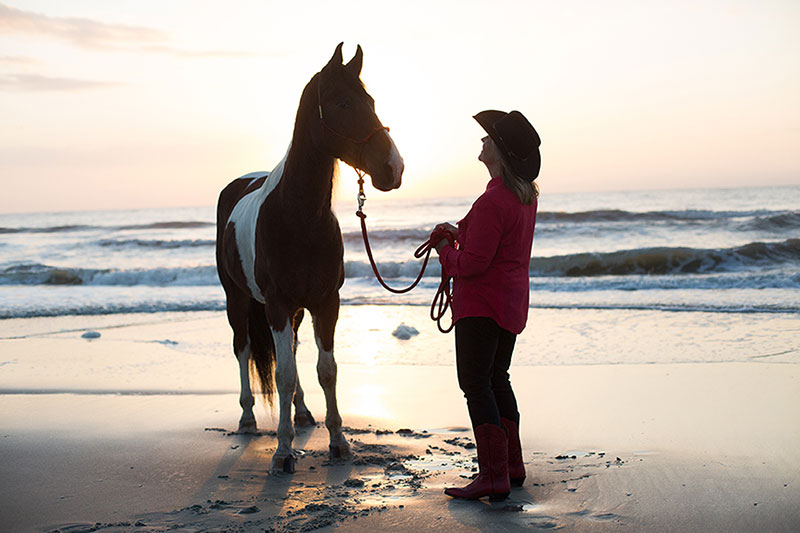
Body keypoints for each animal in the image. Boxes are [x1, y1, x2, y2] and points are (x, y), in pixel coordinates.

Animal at [216, 43, 404, 472]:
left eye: (370, 101)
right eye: (342, 103)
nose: (393, 168)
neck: (298, 217)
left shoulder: (325, 302)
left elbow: (325, 370)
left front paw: (338, 442)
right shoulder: (278, 304)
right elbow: (283, 374)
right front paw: (283, 452)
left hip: (296, 311)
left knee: (295, 350)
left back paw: (301, 413)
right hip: (238, 300)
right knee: (243, 348)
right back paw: (248, 418)